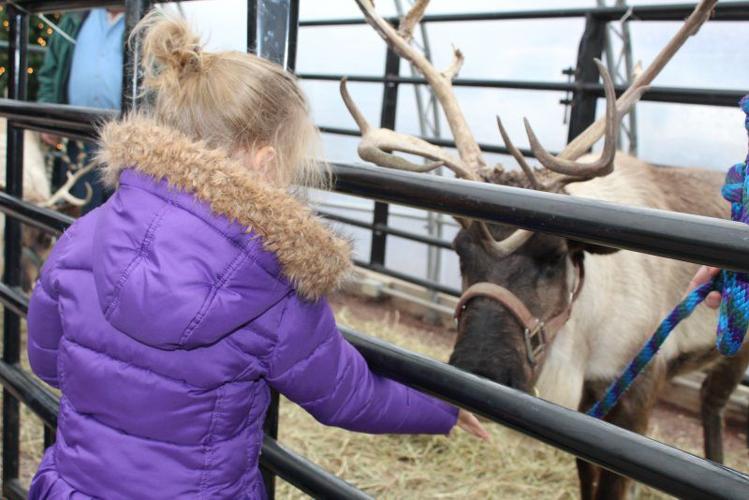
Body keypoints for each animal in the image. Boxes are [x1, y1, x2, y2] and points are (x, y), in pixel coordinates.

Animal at [340, 1, 742, 498]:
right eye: (459, 250)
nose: (480, 370)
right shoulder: (586, 408)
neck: (583, 338)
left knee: (713, 403)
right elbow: (586, 477)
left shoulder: (636, 391)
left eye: (553, 256)